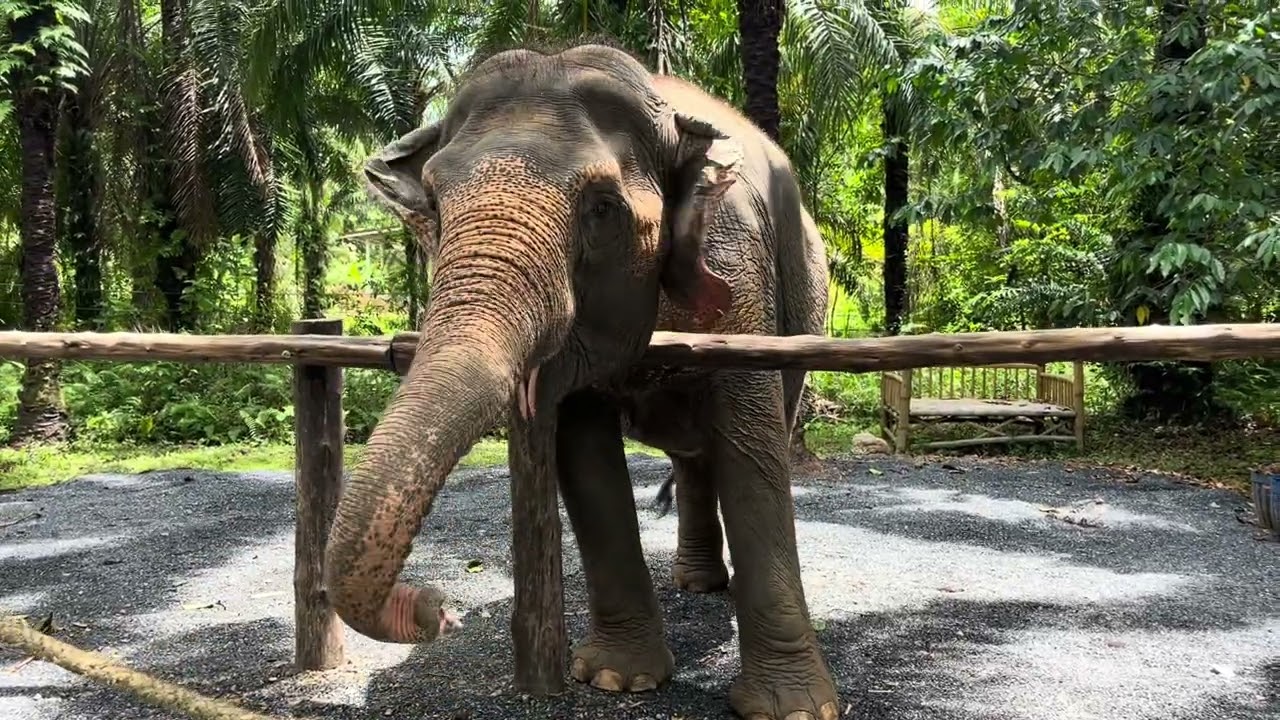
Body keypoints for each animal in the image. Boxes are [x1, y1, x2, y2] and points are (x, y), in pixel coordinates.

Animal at [323, 42, 837, 720]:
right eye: (433, 201)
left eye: (602, 208)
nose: (437, 608)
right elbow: (584, 455)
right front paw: (618, 679)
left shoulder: (740, 264)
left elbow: (752, 452)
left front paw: (795, 708)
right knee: (693, 456)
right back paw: (696, 582)